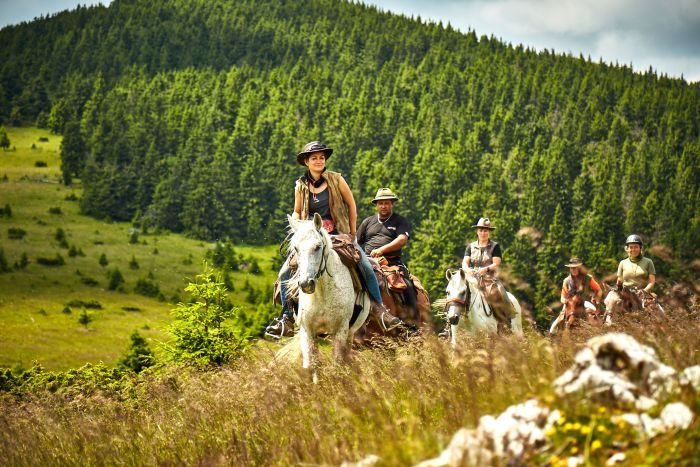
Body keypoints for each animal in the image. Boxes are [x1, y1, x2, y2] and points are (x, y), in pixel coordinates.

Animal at [286, 214, 372, 382]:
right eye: (296, 249)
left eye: (317, 247)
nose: (305, 283)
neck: (322, 293)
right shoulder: (307, 330)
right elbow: (312, 366)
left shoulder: (340, 330)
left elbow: (336, 367)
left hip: (350, 333)